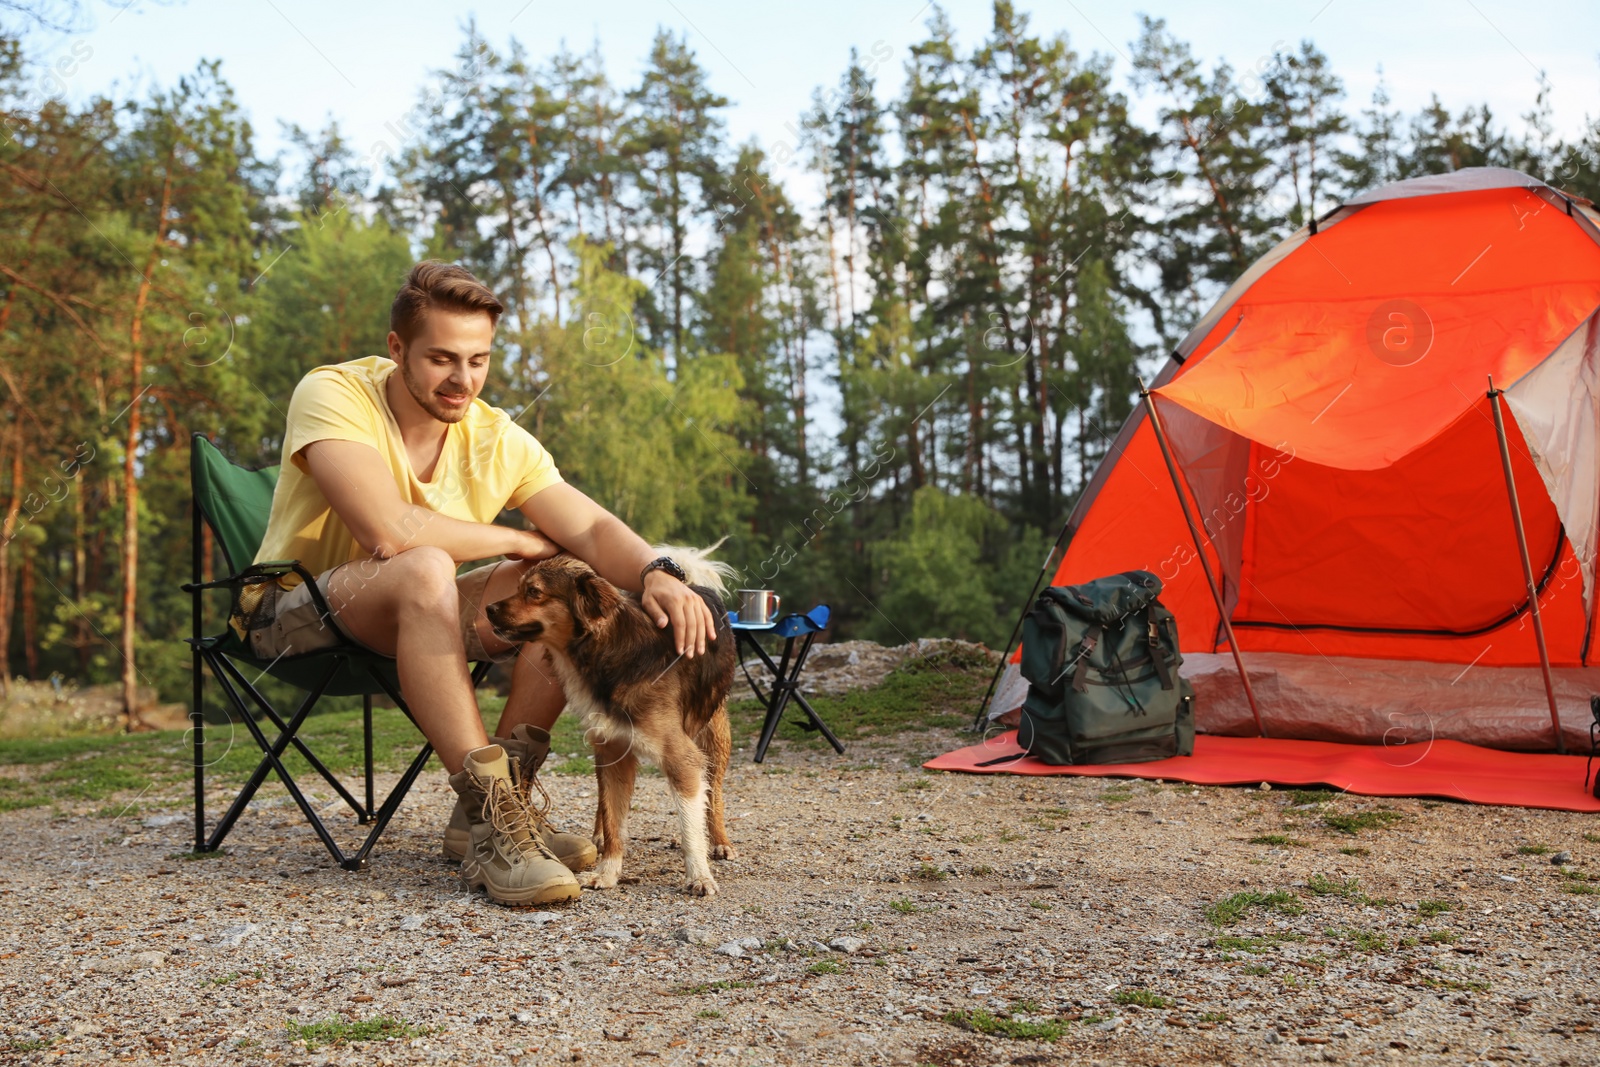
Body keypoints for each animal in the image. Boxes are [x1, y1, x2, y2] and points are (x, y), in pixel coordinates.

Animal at [483, 556, 739, 895]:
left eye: (534, 592)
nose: (488, 609)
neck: (607, 654)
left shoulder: (681, 757)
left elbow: (690, 824)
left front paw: (698, 874)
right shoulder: (613, 751)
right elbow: (613, 818)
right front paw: (607, 872)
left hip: (715, 735)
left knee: (714, 792)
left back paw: (719, 840)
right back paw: (599, 836)